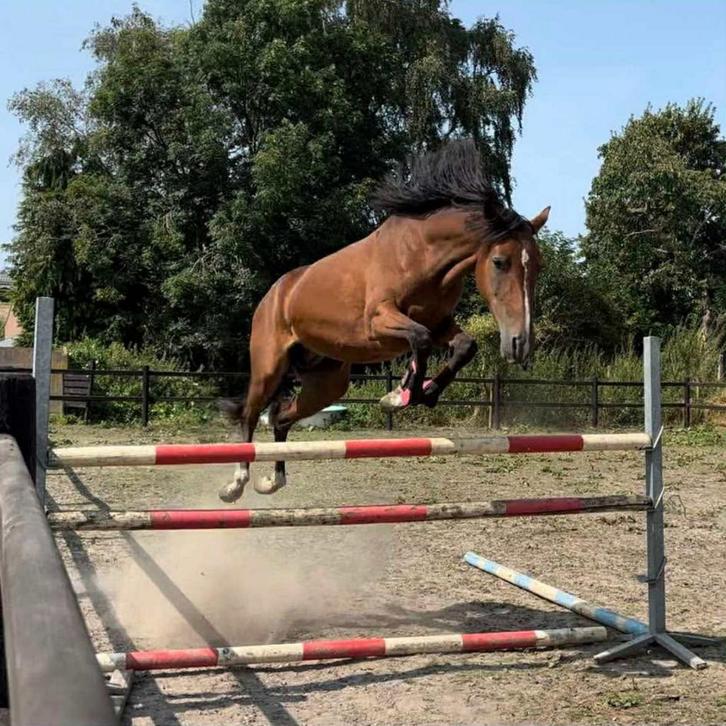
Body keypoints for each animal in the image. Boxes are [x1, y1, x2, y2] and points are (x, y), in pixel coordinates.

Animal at [219, 140, 549, 502]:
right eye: (500, 262)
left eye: (538, 266)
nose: (519, 345)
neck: (423, 255)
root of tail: (276, 292)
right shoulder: (379, 322)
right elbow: (419, 339)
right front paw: (400, 396)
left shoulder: (440, 323)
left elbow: (464, 346)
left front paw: (423, 393)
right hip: (269, 365)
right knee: (251, 414)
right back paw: (235, 484)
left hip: (327, 382)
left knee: (281, 416)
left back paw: (272, 481)